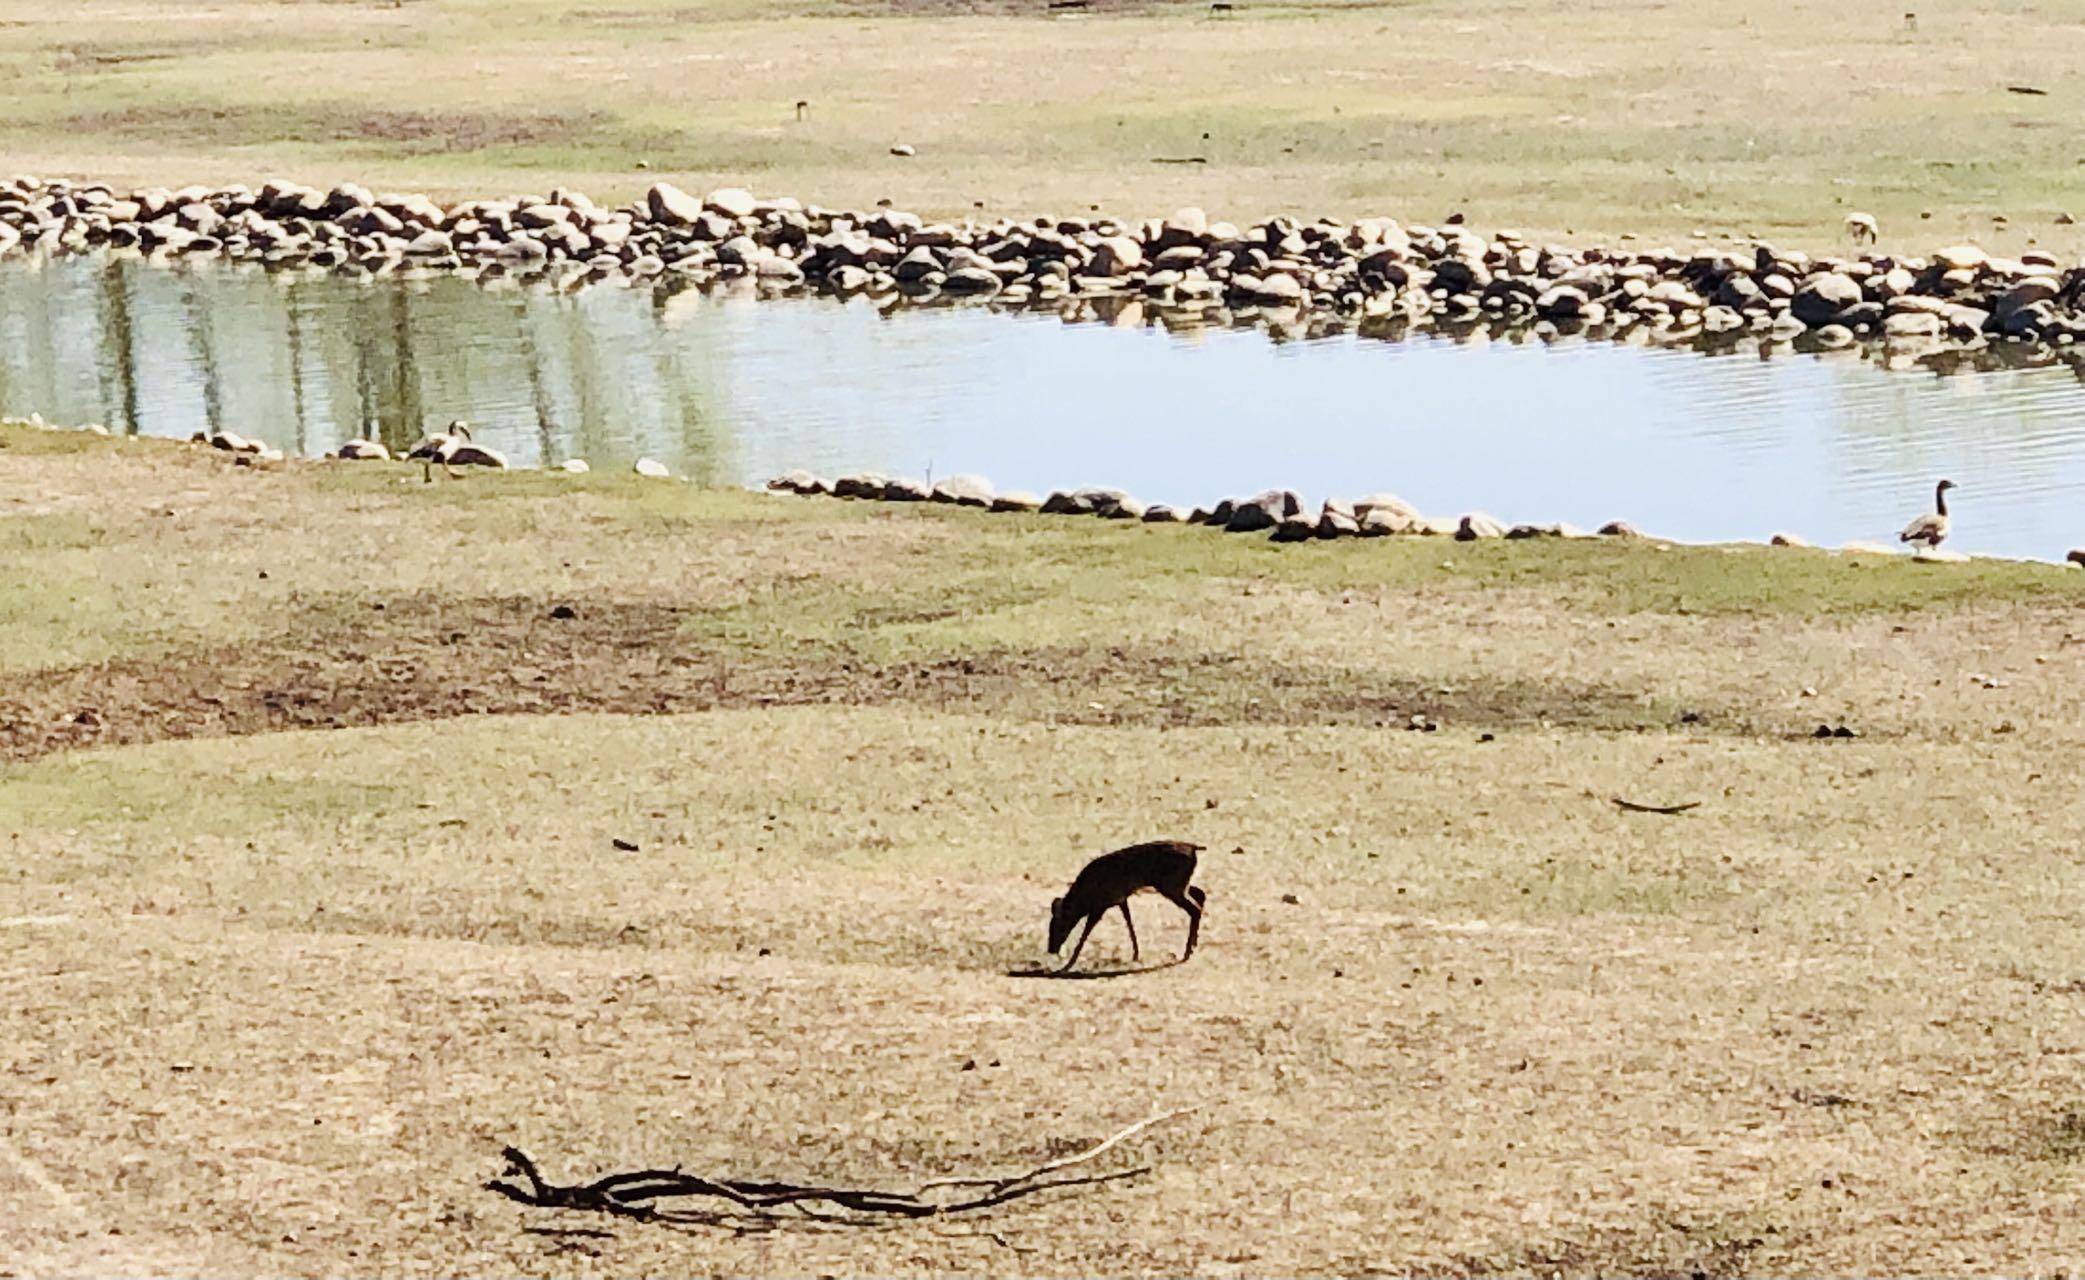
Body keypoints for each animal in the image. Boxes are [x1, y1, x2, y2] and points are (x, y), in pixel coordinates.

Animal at [1042, 842, 1209, 971]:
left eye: (1058, 926)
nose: (1051, 949)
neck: (1084, 899)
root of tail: (1194, 847)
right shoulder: (1121, 899)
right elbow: (1129, 923)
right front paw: (1136, 955)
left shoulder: (1100, 905)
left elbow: (1085, 934)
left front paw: (1067, 965)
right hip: (1178, 885)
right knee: (1201, 894)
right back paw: (1194, 945)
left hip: (1172, 885)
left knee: (1195, 908)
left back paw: (1187, 952)